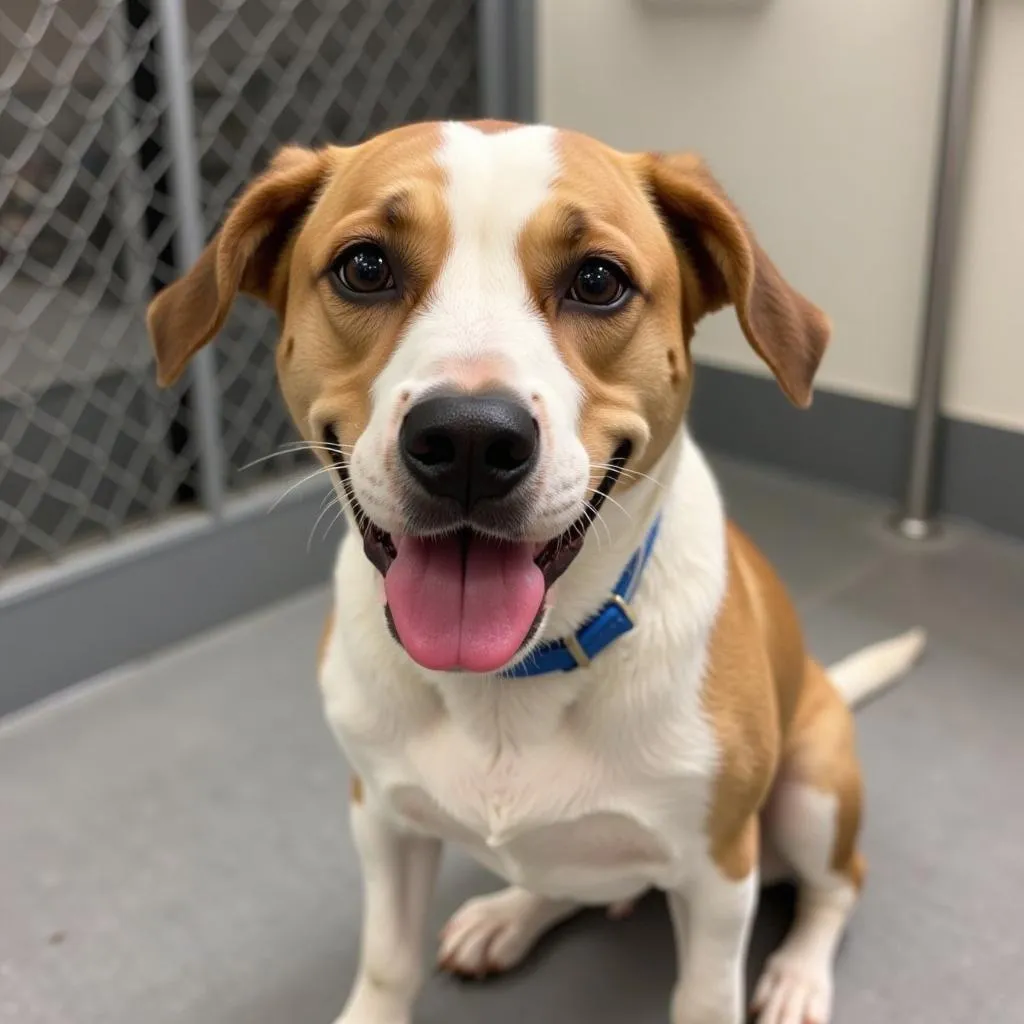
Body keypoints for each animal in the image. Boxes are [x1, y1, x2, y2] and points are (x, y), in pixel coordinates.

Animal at [148, 121, 925, 1024]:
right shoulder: (381, 816)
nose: (469, 440)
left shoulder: (719, 872)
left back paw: (798, 975)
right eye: (365, 266)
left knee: (836, 888)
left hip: (810, 792)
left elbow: (706, 997)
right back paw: (508, 917)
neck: (508, 681)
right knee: (567, 879)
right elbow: (385, 962)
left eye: (598, 280)